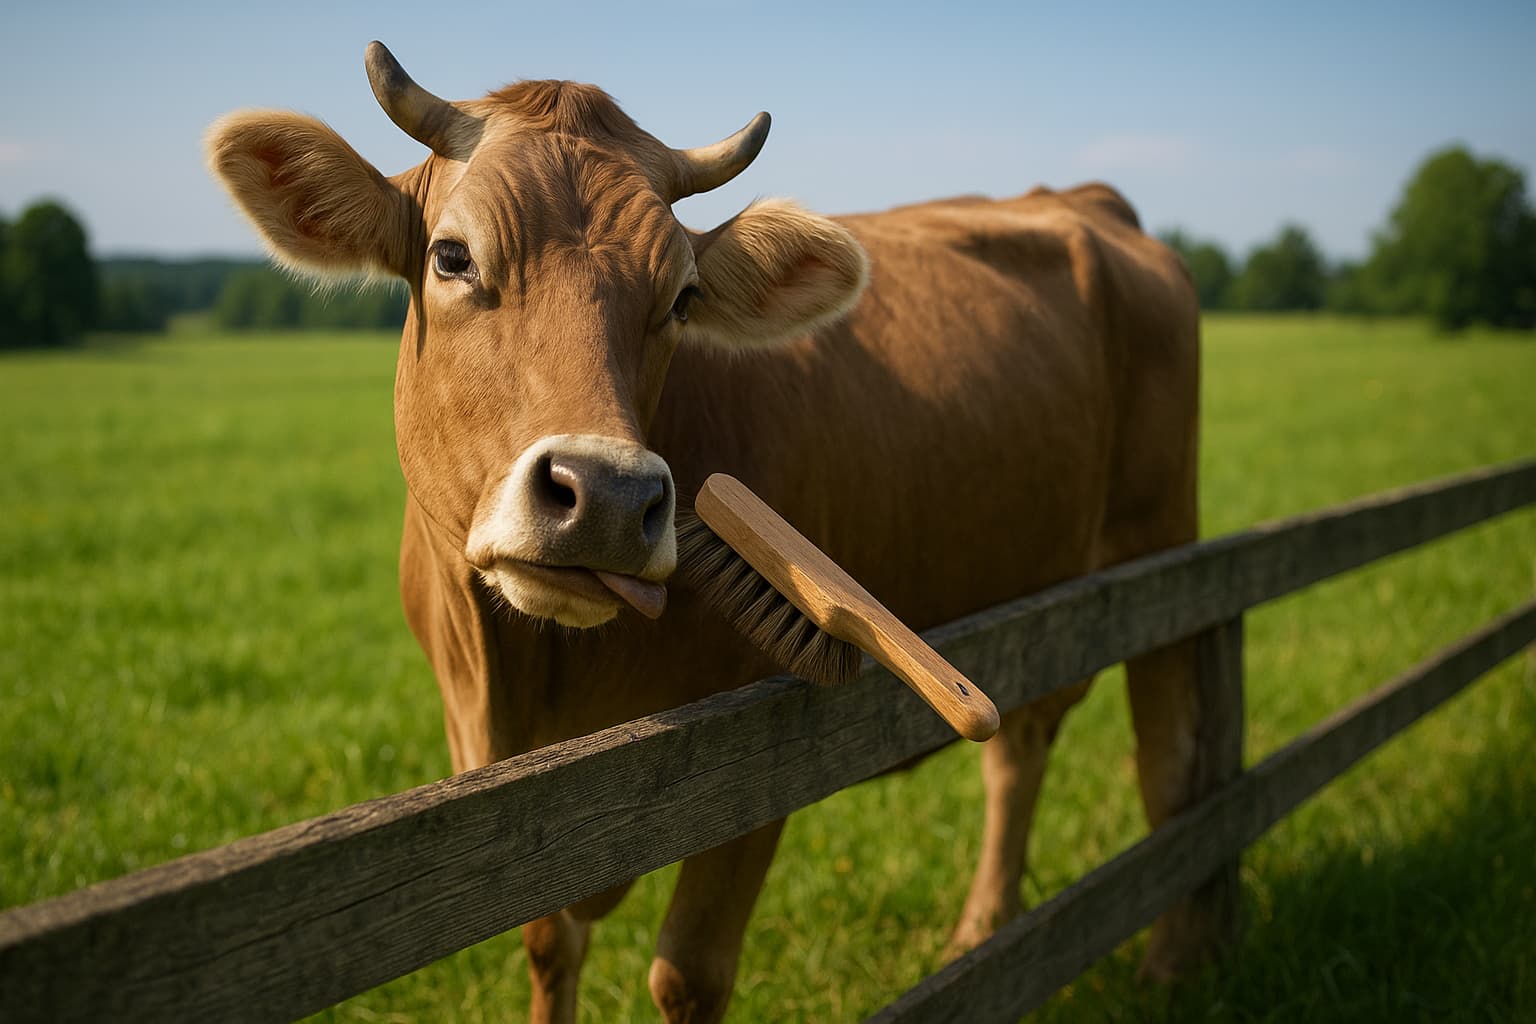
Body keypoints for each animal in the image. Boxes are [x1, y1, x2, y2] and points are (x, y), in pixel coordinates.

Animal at [207, 42, 1204, 1023]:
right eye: (451, 256)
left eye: (683, 297)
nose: (607, 497)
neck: (529, 679)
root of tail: (1082, 198)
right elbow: (548, 944)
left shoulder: (749, 768)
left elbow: (689, 973)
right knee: (1022, 750)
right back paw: (981, 931)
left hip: (1162, 552)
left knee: (1167, 766)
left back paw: (1168, 962)